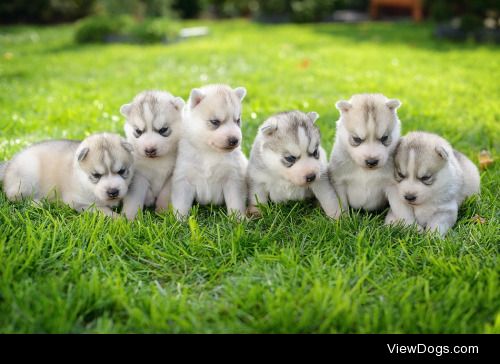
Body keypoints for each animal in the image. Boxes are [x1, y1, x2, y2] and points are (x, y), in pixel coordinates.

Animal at [0, 133, 135, 216]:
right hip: (28, 175)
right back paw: (37, 202)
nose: (113, 192)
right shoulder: (79, 202)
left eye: (122, 171)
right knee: (14, 196)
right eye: (96, 175)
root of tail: (9, 164)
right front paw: (120, 220)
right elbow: (104, 211)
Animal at [120, 90, 185, 219]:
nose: (150, 149)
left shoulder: (173, 174)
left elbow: (165, 193)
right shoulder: (138, 175)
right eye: (138, 131)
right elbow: (135, 196)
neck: (157, 161)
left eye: (163, 129)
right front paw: (129, 216)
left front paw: (163, 210)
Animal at [172, 84, 248, 219]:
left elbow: (235, 201)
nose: (234, 140)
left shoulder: (233, 177)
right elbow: (181, 203)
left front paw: (238, 219)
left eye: (237, 120)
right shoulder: (183, 179)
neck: (209, 152)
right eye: (215, 122)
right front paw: (179, 220)